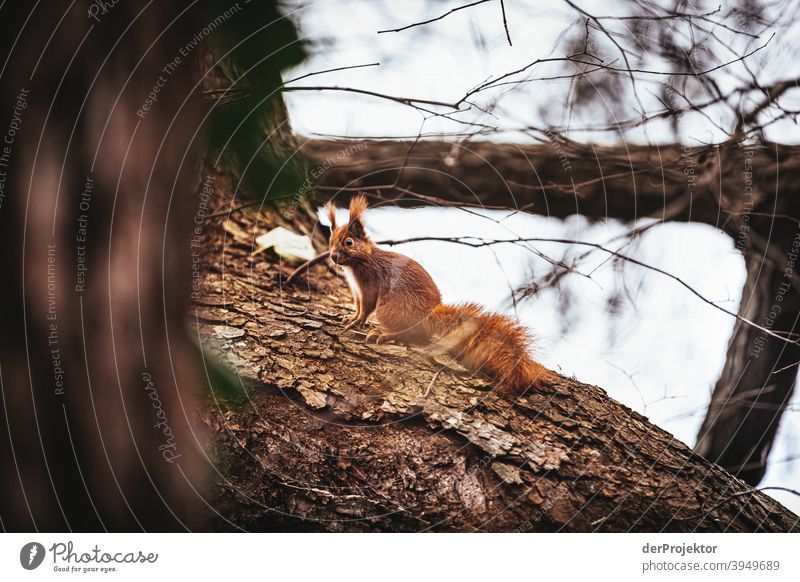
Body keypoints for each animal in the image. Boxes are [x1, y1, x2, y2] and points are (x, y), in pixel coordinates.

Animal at [324, 195, 556, 396]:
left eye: (349, 242)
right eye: (331, 241)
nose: (334, 257)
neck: (361, 261)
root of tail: (429, 314)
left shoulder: (370, 283)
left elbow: (367, 307)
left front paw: (357, 322)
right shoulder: (356, 290)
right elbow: (357, 307)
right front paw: (351, 318)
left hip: (390, 309)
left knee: (409, 333)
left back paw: (386, 334)